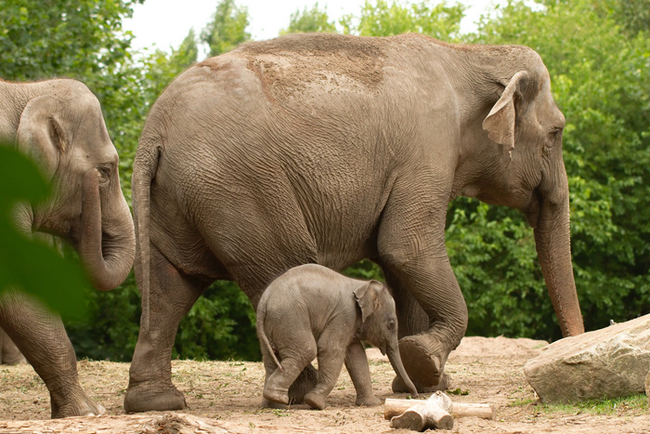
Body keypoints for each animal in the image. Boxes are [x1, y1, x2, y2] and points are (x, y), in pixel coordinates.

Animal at [253, 262, 416, 408]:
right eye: (391, 325)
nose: (413, 396)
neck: (361, 285)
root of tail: (264, 301)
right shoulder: (344, 315)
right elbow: (330, 349)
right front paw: (315, 403)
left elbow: (357, 356)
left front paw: (372, 404)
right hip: (290, 317)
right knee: (306, 351)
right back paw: (279, 398)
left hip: (271, 327)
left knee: (271, 359)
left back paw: (273, 405)